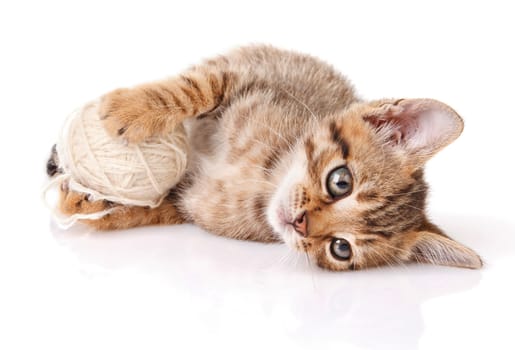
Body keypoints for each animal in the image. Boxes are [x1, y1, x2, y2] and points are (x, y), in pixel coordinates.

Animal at [49, 44, 484, 270]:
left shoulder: (191, 203)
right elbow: (194, 88)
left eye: (340, 249)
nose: (300, 223)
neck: (263, 173)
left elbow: (157, 208)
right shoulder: (246, 70)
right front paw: (132, 109)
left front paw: (94, 206)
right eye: (340, 181)